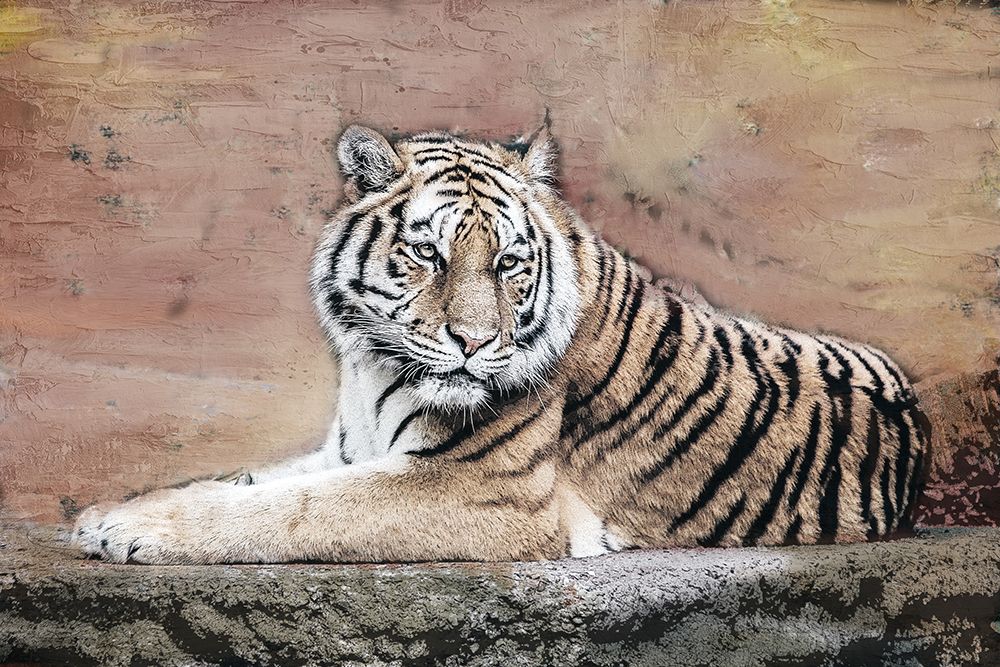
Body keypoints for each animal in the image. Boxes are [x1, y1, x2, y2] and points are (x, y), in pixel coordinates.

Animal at [73, 122, 930, 564]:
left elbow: (292, 508)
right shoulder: (347, 448)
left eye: (510, 263)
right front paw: (108, 511)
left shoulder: (481, 488)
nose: (474, 342)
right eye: (428, 253)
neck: (369, 364)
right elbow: (249, 478)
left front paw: (131, 529)